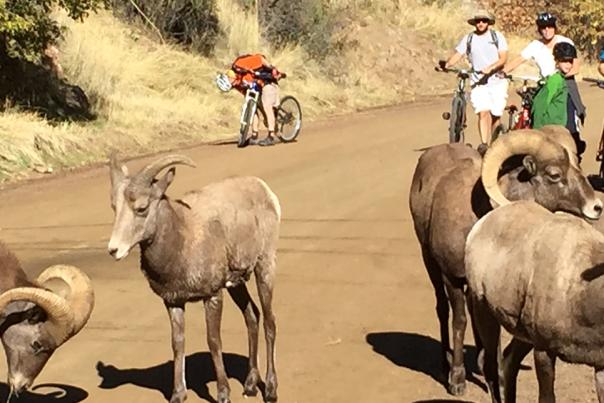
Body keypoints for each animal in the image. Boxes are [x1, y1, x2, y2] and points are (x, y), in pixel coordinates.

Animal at [107, 155, 280, 403]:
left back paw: (271, 390)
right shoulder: (173, 302)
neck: (184, 239)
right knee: (252, 316)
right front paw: (178, 394)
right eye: (114, 207)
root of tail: (265, 190)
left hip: (264, 267)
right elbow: (177, 344)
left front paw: (223, 394)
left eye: (142, 208)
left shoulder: (213, 296)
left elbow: (213, 341)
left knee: (269, 321)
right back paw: (249, 386)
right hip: (236, 284)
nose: (114, 250)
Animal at [468, 202, 604, 403]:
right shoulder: (544, 350)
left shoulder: (600, 365)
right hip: (484, 313)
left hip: (523, 334)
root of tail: (481, 225)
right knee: (491, 367)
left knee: (509, 362)